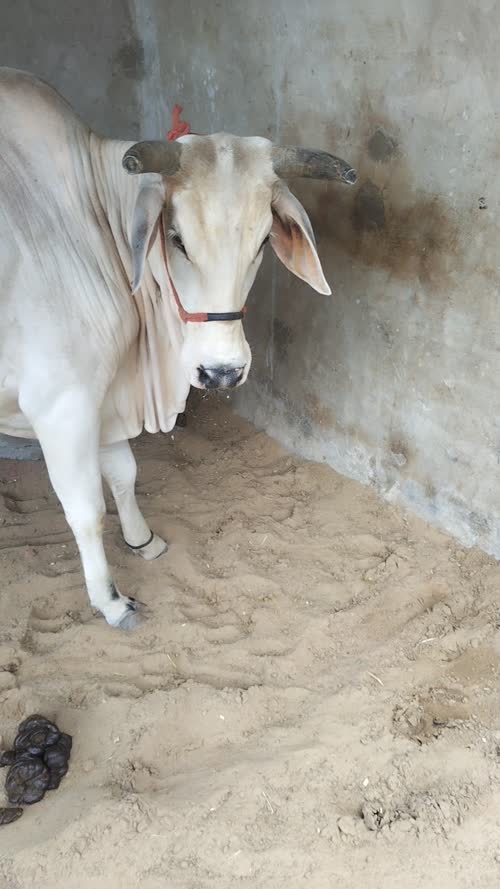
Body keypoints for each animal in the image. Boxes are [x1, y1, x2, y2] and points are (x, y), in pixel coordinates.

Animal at [0, 68, 356, 629]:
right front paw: (111, 600)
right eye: (177, 239)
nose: (221, 372)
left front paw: (142, 540)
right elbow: (85, 510)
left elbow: (123, 474)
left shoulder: (105, 392)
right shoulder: (62, 403)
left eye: (262, 242)